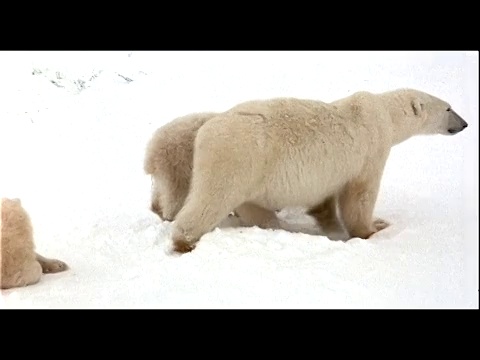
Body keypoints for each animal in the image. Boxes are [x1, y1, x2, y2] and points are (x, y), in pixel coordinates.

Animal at [170, 89, 468, 253]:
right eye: (448, 108)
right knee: (212, 199)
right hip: (237, 158)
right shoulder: (371, 149)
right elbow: (359, 195)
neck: (383, 113)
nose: (464, 124)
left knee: (252, 206)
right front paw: (374, 228)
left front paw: (330, 223)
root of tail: (205, 132)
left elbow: (326, 199)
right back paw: (184, 241)